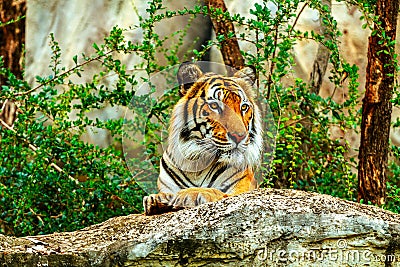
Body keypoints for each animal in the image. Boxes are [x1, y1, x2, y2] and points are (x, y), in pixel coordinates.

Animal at [143, 62, 262, 216]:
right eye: (214, 105)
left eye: (244, 107)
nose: (239, 136)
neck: (196, 164)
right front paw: (157, 199)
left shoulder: (241, 189)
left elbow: (216, 192)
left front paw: (188, 194)